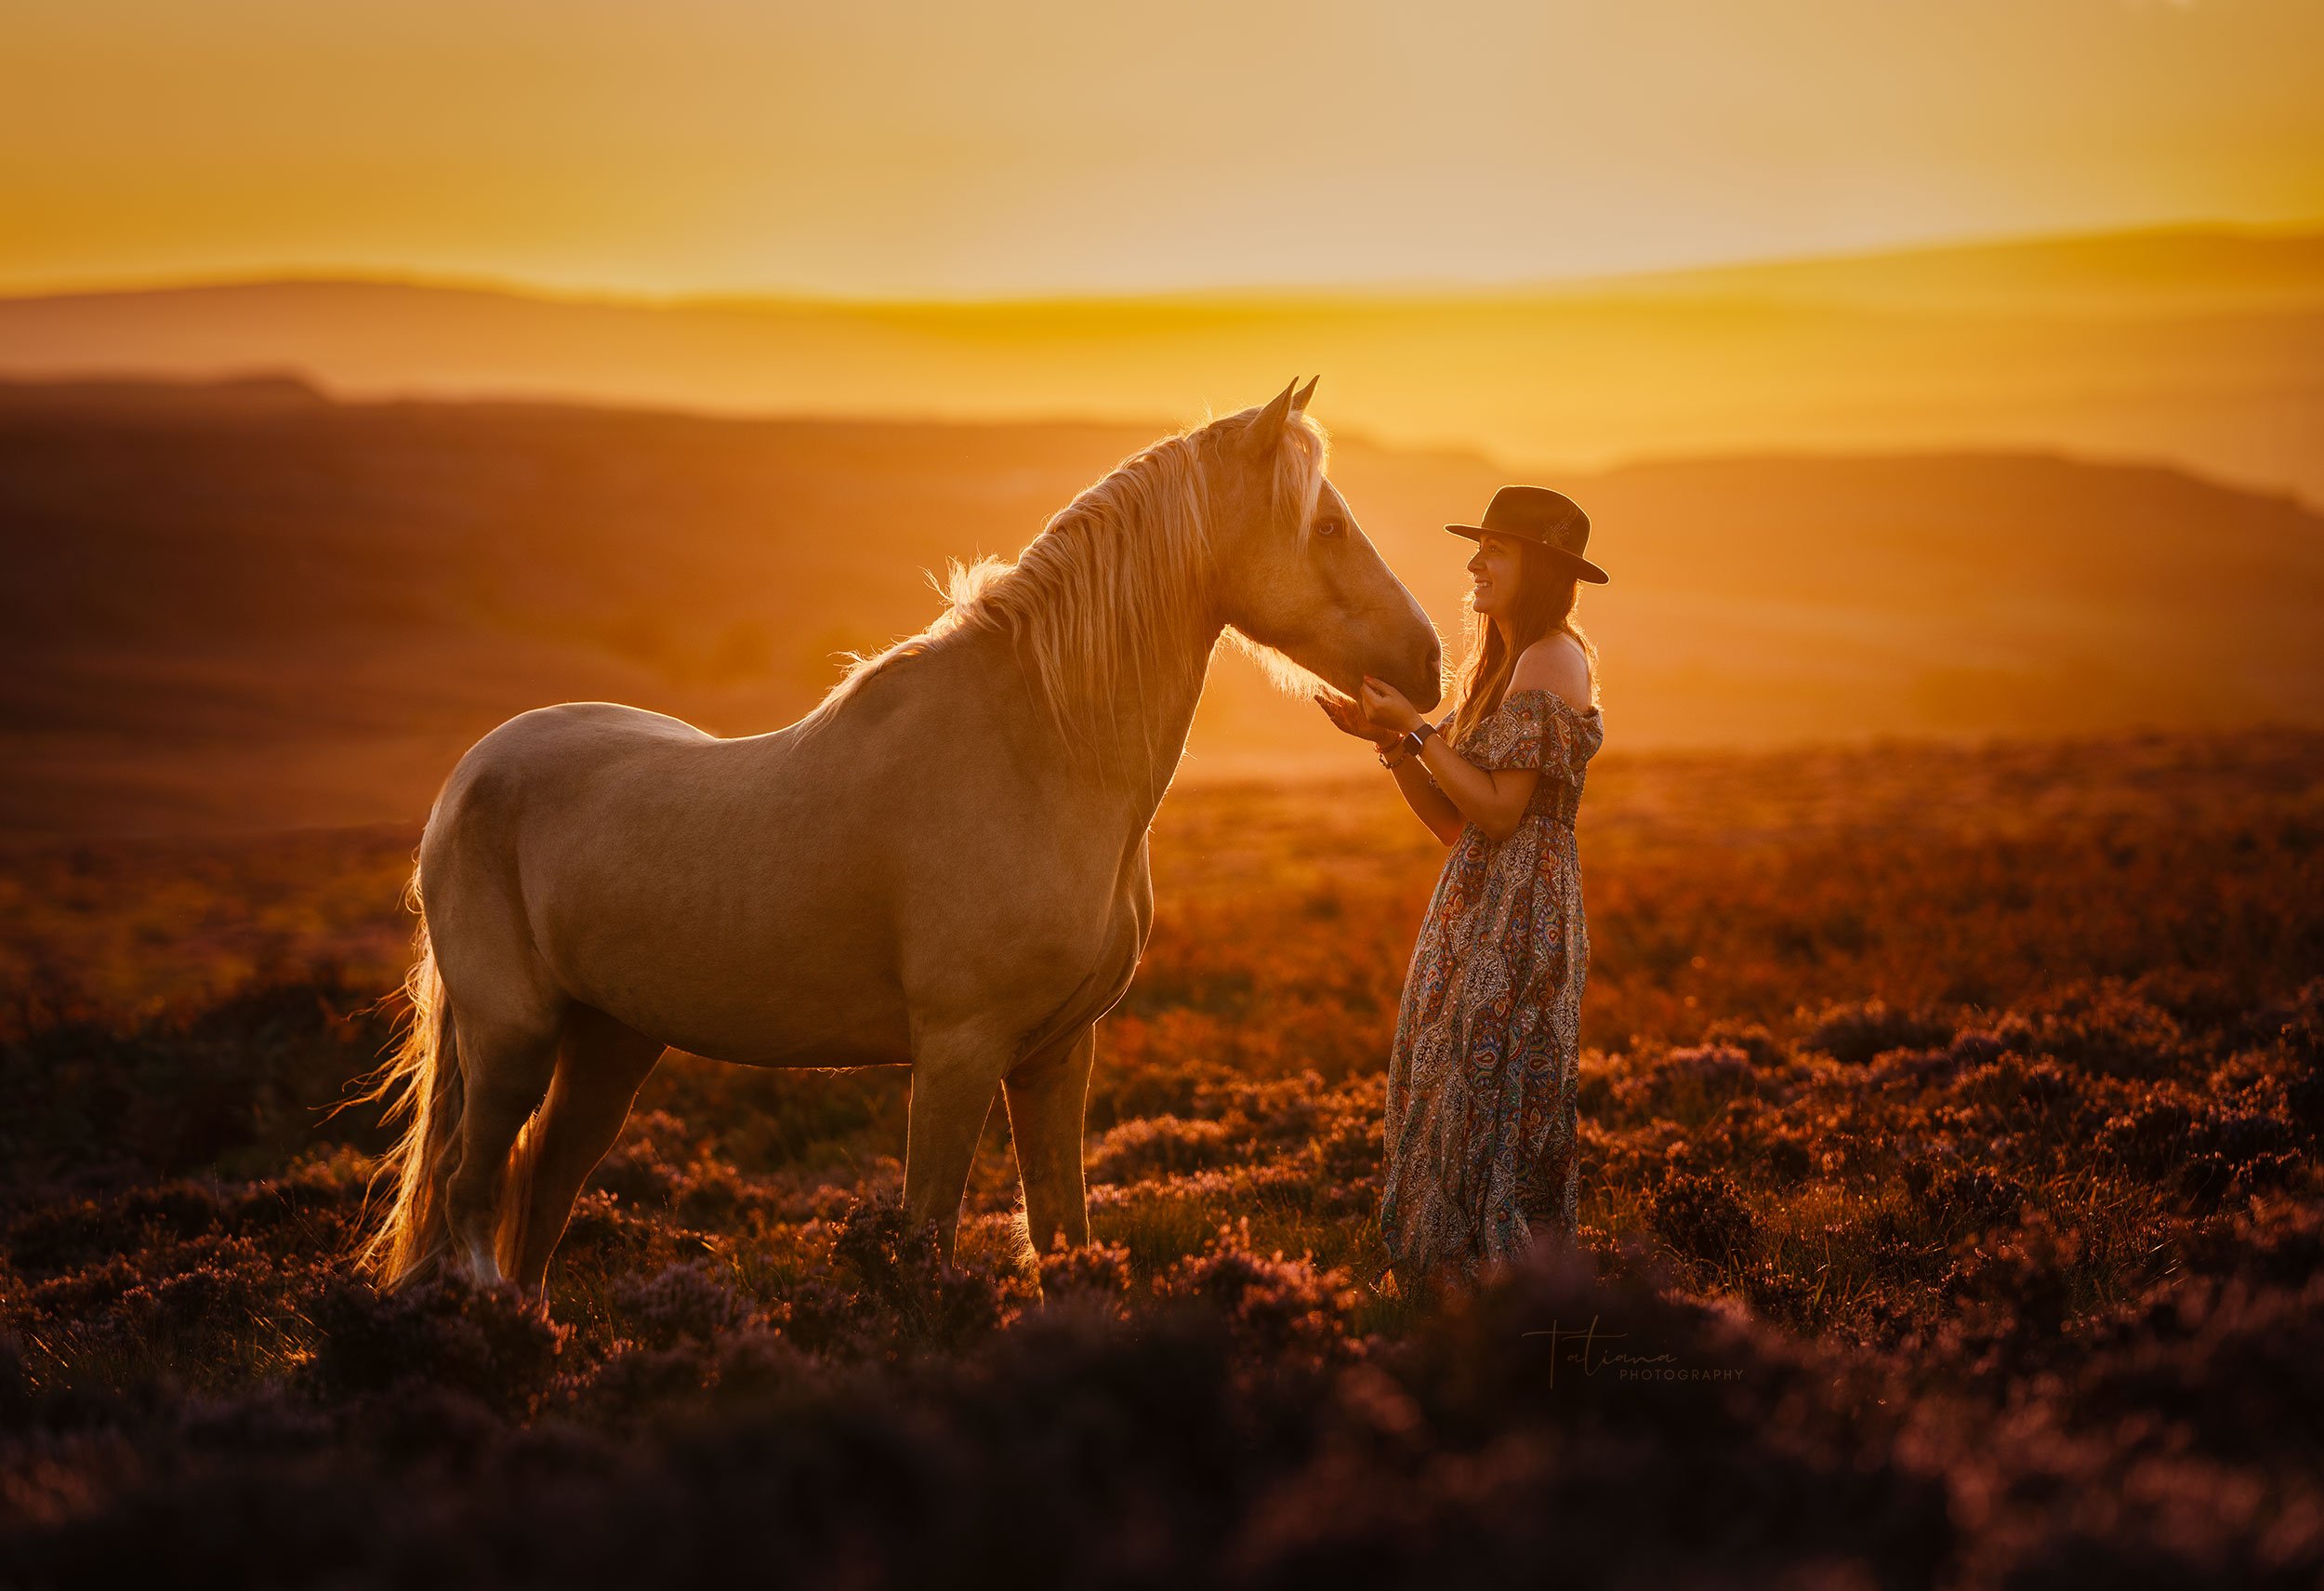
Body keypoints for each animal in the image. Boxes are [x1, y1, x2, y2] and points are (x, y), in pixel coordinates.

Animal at [354, 377, 1443, 1292]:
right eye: (1326, 523)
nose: (1429, 663)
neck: (1038, 749)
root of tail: (470, 776)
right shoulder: (958, 1052)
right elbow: (927, 1238)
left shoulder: (1058, 1053)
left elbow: (1063, 1235)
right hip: (512, 1037)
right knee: (470, 1198)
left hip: (610, 1043)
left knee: (541, 1196)